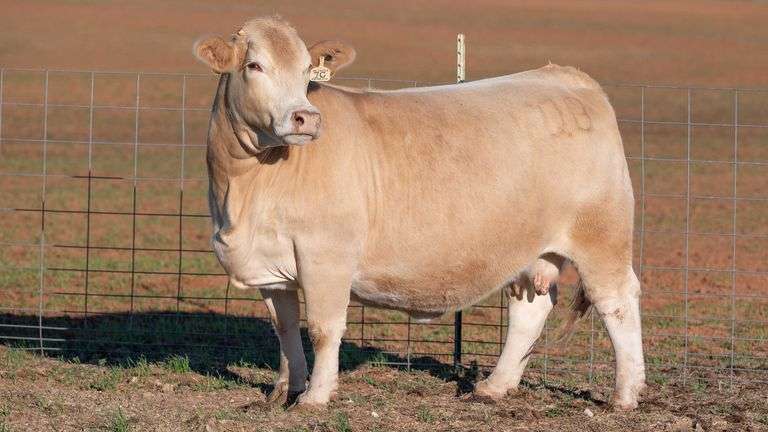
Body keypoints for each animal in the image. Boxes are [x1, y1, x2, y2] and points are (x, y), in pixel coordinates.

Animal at [194, 16, 646, 410]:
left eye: (308, 70)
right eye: (254, 65)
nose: (306, 117)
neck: (245, 189)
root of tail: (565, 77)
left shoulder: (326, 255)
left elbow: (323, 329)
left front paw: (314, 397)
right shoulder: (271, 264)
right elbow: (285, 329)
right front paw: (284, 390)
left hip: (601, 234)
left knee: (617, 302)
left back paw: (625, 395)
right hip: (529, 246)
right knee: (530, 309)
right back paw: (494, 387)